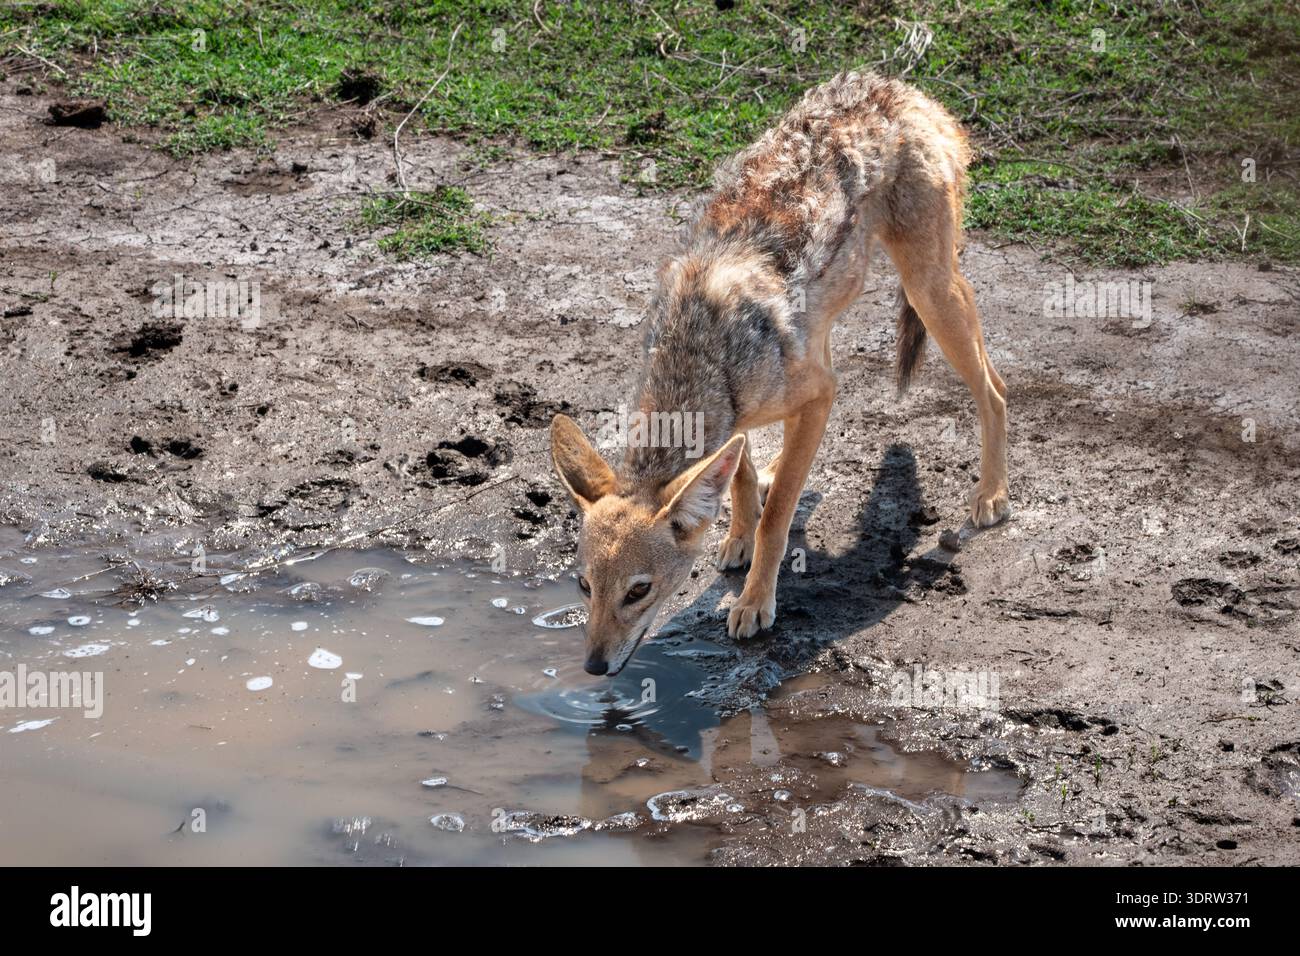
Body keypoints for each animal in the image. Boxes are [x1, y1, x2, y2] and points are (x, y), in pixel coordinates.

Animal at [551, 71, 1010, 676]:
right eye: (584, 586)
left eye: (638, 591)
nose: (594, 668)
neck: (700, 350)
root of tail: (902, 90)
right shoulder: (740, 416)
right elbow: (741, 477)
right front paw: (738, 536)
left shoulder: (817, 400)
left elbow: (777, 518)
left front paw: (753, 600)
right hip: (835, 321)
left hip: (928, 293)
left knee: (996, 390)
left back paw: (991, 494)